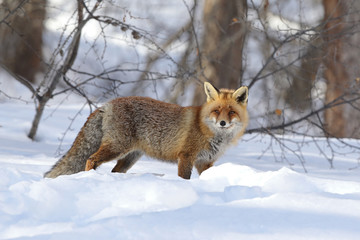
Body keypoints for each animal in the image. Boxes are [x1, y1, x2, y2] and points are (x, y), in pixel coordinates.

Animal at [44, 82, 248, 178]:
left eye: (231, 112)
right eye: (216, 111)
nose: (222, 123)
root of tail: (107, 104)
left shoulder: (204, 162)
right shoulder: (186, 156)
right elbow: (184, 178)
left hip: (130, 157)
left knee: (114, 170)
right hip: (117, 147)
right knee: (90, 159)